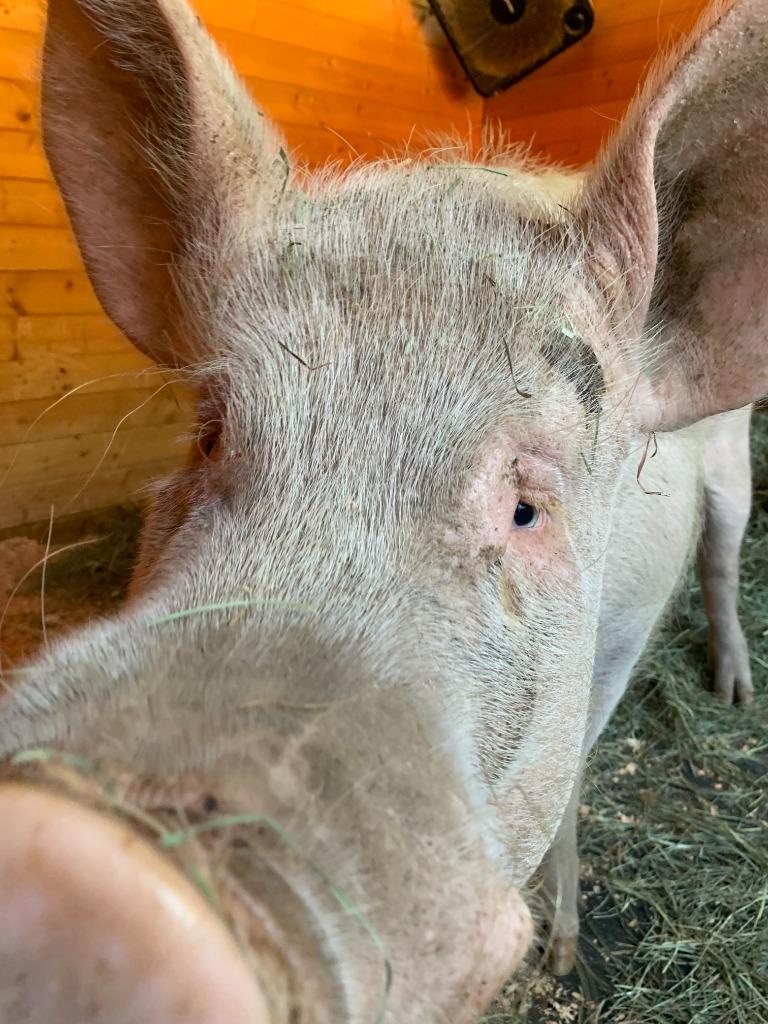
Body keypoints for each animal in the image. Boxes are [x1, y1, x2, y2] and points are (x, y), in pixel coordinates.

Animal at [0, 0, 765, 1019]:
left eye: (527, 509)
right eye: (209, 434)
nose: (92, 869)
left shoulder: (622, 629)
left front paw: (563, 953)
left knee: (723, 552)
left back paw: (734, 690)